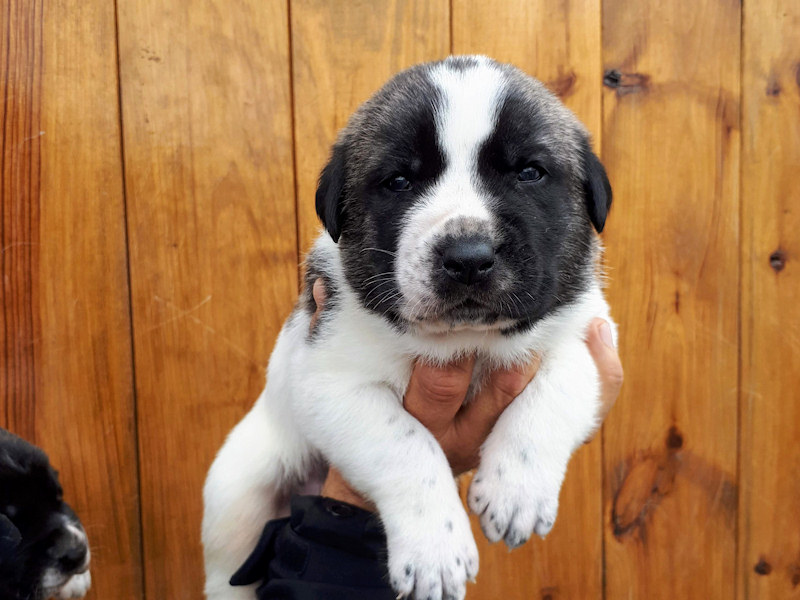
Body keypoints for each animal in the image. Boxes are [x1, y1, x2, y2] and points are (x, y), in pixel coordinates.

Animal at [203, 55, 614, 600]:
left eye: (530, 173)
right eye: (399, 182)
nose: (468, 258)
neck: (465, 339)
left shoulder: (584, 335)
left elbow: (554, 394)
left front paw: (517, 490)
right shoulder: (331, 383)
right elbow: (405, 446)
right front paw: (435, 548)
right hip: (238, 491)